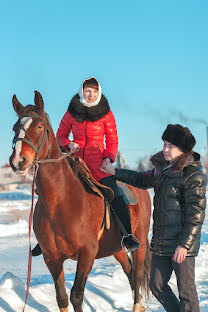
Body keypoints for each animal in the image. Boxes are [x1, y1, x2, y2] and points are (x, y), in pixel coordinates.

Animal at [9, 91, 151, 312]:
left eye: (39, 126)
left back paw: (137, 305)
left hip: (141, 243)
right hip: (116, 248)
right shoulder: (52, 258)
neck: (60, 202)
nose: (18, 161)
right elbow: (61, 297)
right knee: (129, 271)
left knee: (136, 273)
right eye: (15, 127)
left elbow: (76, 295)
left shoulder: (87, 254)